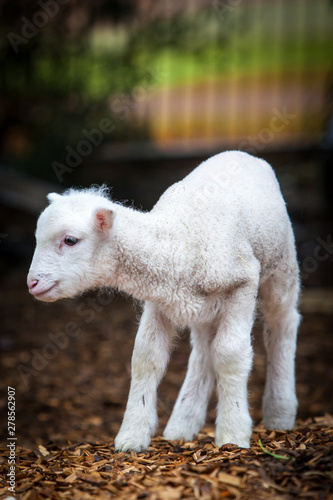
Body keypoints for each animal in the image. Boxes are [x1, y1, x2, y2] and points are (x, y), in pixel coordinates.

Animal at [27, 150, 300, 452]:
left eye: (70, 240)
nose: (32, 283)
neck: (182, 241)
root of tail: (242, 153)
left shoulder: (242, 285)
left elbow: (230, 355)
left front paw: (233, 435)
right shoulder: (159, 300)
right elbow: (145, 357)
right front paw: (131, 436)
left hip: (282, 265)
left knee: (283, 323)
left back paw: (280, 412)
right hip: (204, 310)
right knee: (204, 349)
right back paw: (183, 424)